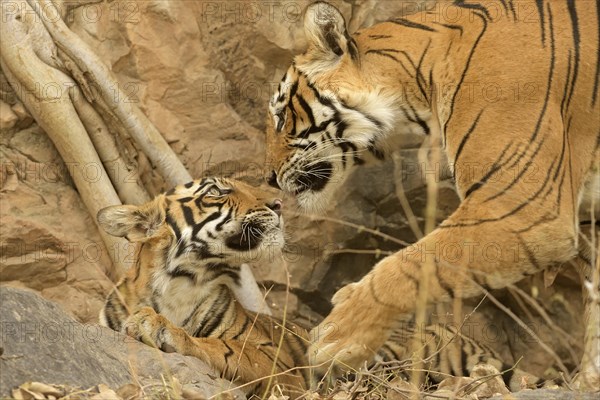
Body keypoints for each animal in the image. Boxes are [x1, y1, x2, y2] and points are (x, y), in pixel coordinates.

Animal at [97, 179, 544, 396]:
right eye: (218, 190)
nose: (279, 203)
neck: (176, 283)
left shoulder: (275, 361)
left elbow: (217, 345)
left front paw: (160, 328)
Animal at [266, 0, 600, 388]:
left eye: (280, 118)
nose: (269, 177)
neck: (420, 86)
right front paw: (588, 382)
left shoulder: (522, 203)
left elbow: (414, 261)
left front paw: (338, 336)